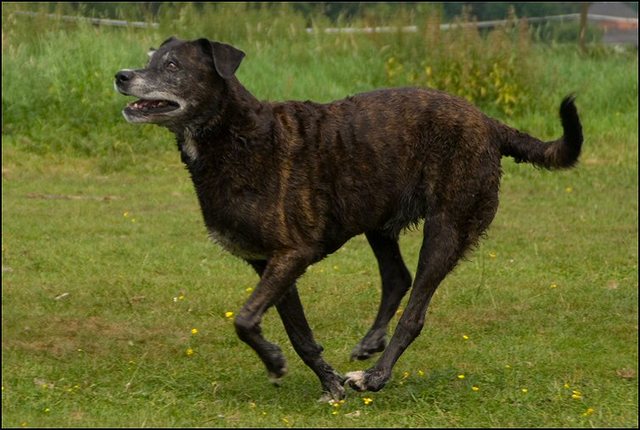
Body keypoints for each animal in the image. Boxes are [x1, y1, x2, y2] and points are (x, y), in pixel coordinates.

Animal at [112, 37, 584, 404]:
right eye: (150, 56)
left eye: (172, 66)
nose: (121, 75)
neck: (235, 136)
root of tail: (487, 121)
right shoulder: (270, 264)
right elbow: (296, 333)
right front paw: (328, 382)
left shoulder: (293, 254)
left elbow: (244, 320)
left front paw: (278, 364)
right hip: (377, 220)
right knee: (397, 277)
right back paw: (370, 343)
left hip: (446, 229)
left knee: (414, 313)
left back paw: (375, 377)